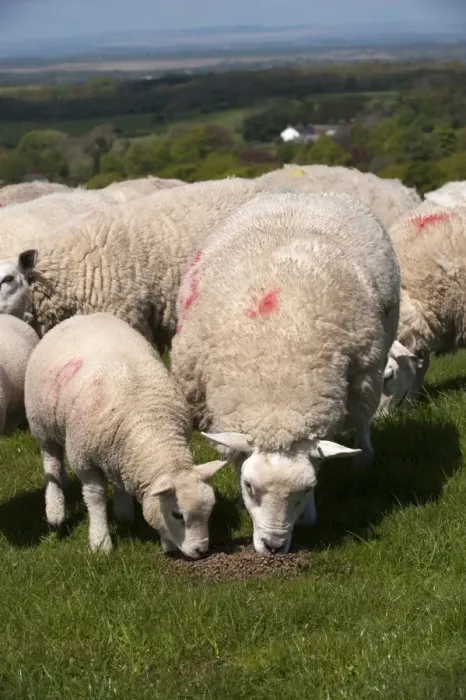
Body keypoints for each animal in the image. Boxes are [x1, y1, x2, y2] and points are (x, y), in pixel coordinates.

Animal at [24, 312, 226, 556]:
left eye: (210, 509)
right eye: (177, 515)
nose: (201, 550)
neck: (148, 424)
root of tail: (80, 316)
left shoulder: (121, 452)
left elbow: (121, 482)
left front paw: (124, 514)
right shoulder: (84, 460)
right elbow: (95, 497)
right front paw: (100, 541)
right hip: (41, 424)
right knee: (51, 462)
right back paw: (55, 511)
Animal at [170, 191, 401, 556]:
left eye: (307, 489)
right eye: (249, 486)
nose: (274, 545)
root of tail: (303, 193)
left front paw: (308, 516)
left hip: (372, 362)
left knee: (363, 413)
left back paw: (363, 456)